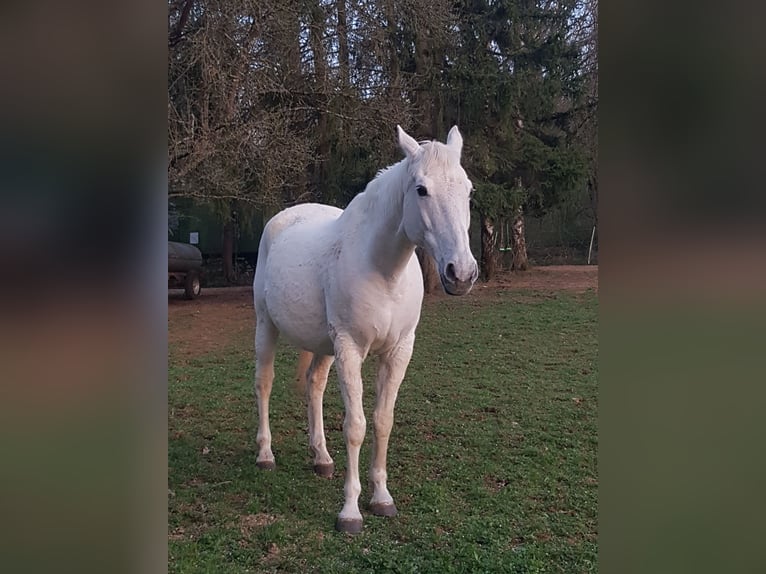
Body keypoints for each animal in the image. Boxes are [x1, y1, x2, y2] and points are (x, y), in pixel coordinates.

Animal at [253, 125, 478, 534]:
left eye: (468, 190)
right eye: (421, 189)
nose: (462, 273)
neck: (383, 270)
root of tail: (283, 219)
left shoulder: (399, 351)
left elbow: (383, 421)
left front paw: (382, 498)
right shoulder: (350, 348)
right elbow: (355, 425)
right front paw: (350, 513)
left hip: (324, 347)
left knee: (314, 385)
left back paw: (322, 458)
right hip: (267, 327)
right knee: (264, 383)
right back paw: (265, 454)